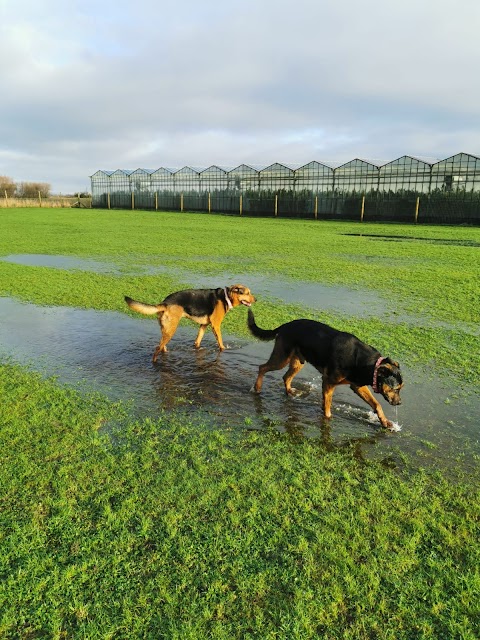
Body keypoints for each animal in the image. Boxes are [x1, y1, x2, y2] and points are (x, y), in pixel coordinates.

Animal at [125, 284, 256, 360]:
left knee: (162, 347)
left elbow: (198, 340)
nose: (256, 299)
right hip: (171, 330)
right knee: (157, 350)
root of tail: (165, 303)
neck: (226, 297)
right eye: (247, 293)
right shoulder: (216, 325)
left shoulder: (204, 325)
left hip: (166, 330)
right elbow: (221, 343)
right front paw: (224, 349)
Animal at [249, 310, 404, 430]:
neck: (367, 364)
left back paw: (289, 392)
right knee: (262, 367)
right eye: (395, 388)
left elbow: (377, 404)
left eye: (400, 389)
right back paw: (257, 388)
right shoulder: (329, 382)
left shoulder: (357, 386)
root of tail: (285, 325)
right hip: (281, 359)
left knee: (286, 377)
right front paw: (327, 421)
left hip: (298, 362)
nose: (399, 403)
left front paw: (385, 422)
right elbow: (328, 408)